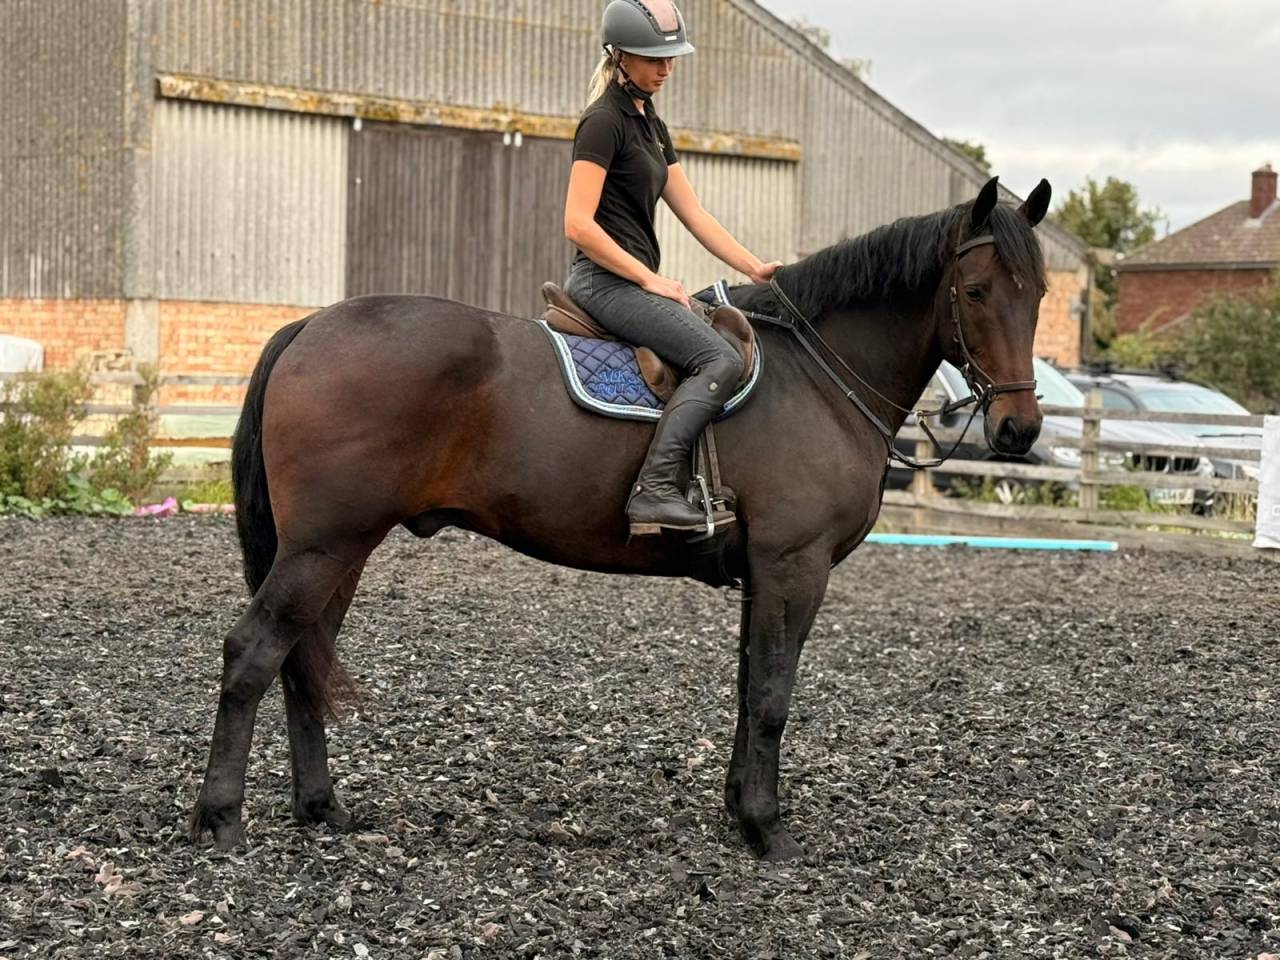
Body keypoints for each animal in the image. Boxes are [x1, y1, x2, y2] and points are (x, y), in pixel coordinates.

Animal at [190, 176, 1053, 861]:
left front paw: (739, 813)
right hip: (323, 546)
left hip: (340, 550)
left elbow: (748, 687)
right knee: (254, 653)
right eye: (976, 291)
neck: (816, 376)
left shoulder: (761, 573)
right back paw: (221, 819)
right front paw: (769, 829)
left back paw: (321, 808)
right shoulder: (793, 566)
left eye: (1038, 293)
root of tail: (312, 325)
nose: (1018, 431)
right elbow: (773, 696)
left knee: (302, 661)